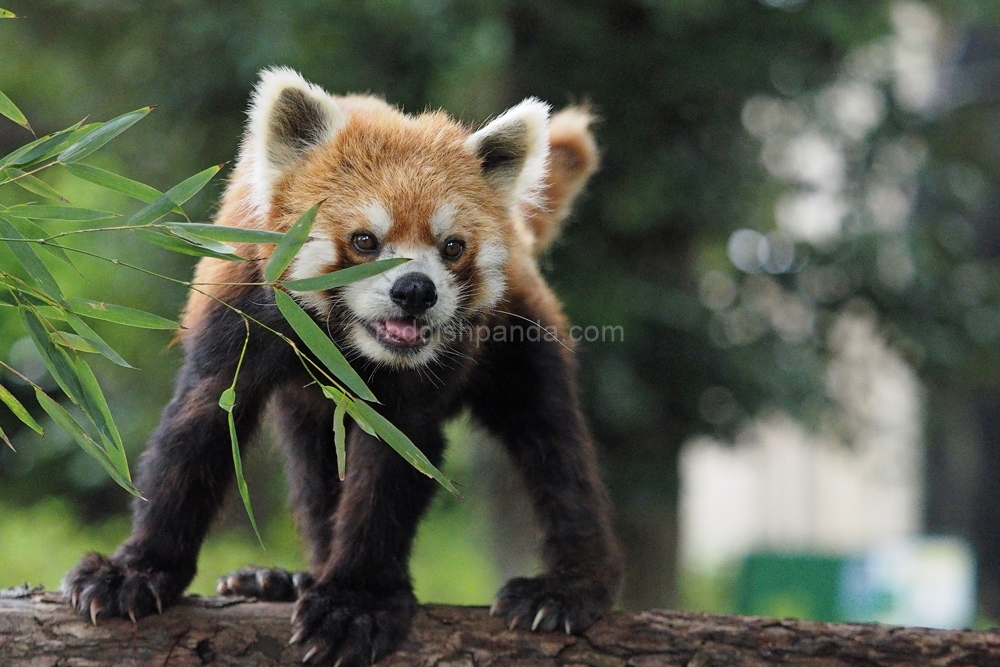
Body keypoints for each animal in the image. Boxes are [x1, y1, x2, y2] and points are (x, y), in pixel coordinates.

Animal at [64, 66, 616, 664]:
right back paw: (286, 580)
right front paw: (136, 570)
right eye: (364, 240)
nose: (415, 291)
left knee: (552, 445)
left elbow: (392, 467)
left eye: (451, 246)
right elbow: (195, 433)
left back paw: (566, 587)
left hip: (519, 335)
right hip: (309, 408)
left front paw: (356, 601)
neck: (344, 345)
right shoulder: (238, 315)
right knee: (315, 465)